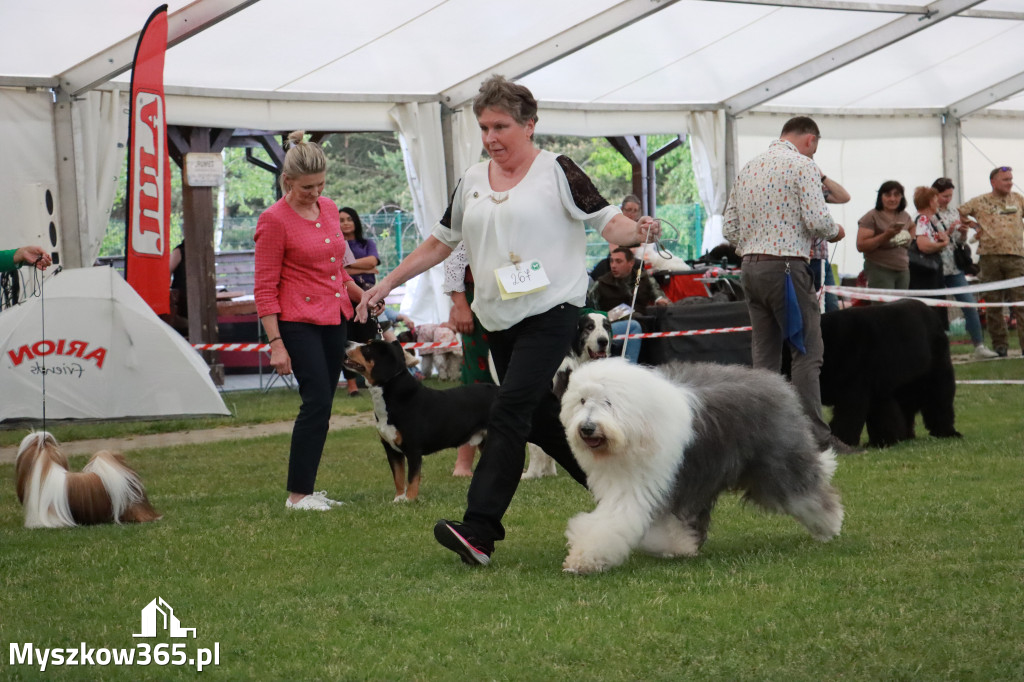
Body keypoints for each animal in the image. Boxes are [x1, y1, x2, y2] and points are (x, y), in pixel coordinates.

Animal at [520, 309, 606, 475]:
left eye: (606, 326)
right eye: (590, 327)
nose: (603, 341)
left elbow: (536, 447)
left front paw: (535, 473)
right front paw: (549, 472)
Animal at [561, 358, 839, 569]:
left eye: (608, 402)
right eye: (582, 401)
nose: (587, 428)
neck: (636, 426)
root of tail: (777, 382)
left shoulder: (638, 486)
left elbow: (611, 522)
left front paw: (583, 559)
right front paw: (677, 545)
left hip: (779, 464)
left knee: (806, 493)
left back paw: (830, 525)